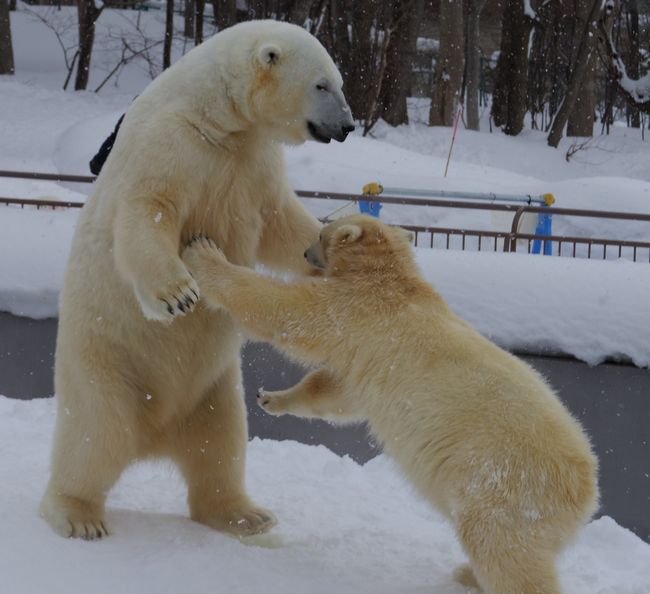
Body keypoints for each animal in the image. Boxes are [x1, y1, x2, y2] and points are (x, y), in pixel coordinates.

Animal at [39, 19, 354, 536]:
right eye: (322, 85)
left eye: (339, 82)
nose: (347, 126)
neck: (217, 120)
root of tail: (155, 436)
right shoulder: (171, 144)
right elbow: (149, 210)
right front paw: (179, 295)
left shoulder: (255, 160)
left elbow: (281, 221)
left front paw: (328, 253)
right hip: (104, 364)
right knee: (96, 435)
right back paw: (76, 514)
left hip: (214, 389)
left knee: (221, 445)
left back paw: (246, 514)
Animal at [182, 214, 596, 592]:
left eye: (322, 232)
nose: (304, 251)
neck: (390, 278)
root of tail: (585, 492)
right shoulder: (366, 354)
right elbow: (338, 393)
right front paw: (271, 398)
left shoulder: (353, 313)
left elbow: (285, 312)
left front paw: (202, 252)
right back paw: (468, 573)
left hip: (504, 485)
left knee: (502, 549)